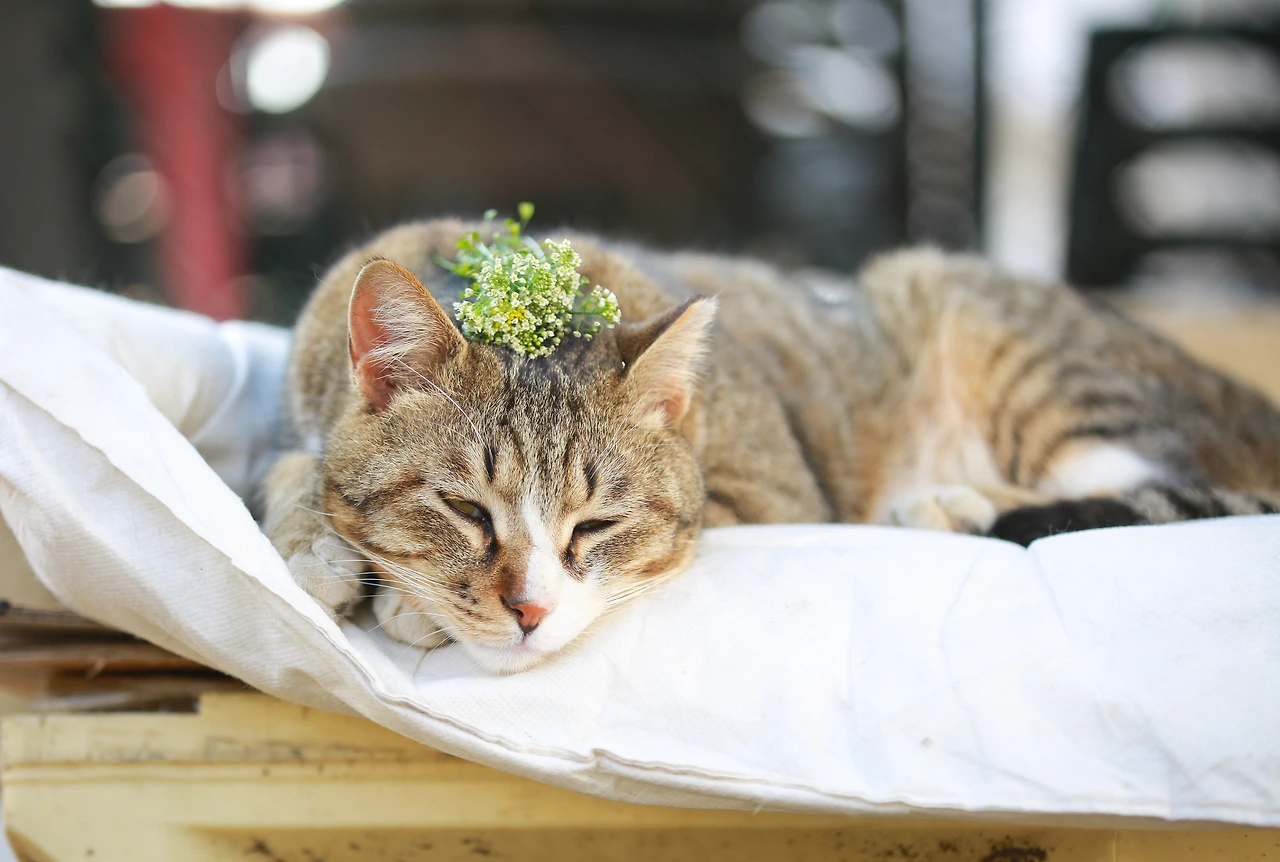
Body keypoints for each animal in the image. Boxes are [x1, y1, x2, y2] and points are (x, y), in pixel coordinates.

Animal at [263, 218, 1280, 673]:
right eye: (466, 510)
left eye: (596, 526)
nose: (529, 613)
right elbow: (287, 463)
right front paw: (314, 540)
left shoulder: (771, 498)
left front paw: (407, 603)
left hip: (997, 337)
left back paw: (954, 504)